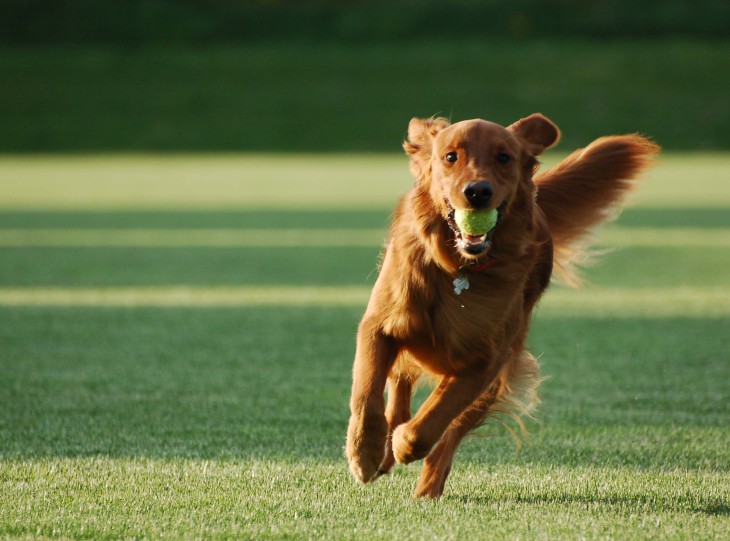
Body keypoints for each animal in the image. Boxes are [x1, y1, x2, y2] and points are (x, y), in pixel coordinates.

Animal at [344, 113, 656, 498]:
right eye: (451, 157)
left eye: (504, 158)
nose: (477, 192)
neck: (457, 268)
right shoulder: (379, 326)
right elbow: (367, 396)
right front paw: (365, 453)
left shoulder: (485, 361)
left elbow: (432, 421)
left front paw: (404, 444)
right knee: (399, 387)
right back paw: (385, 452)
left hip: (500, 371)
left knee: (450, 434)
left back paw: (427, 485)